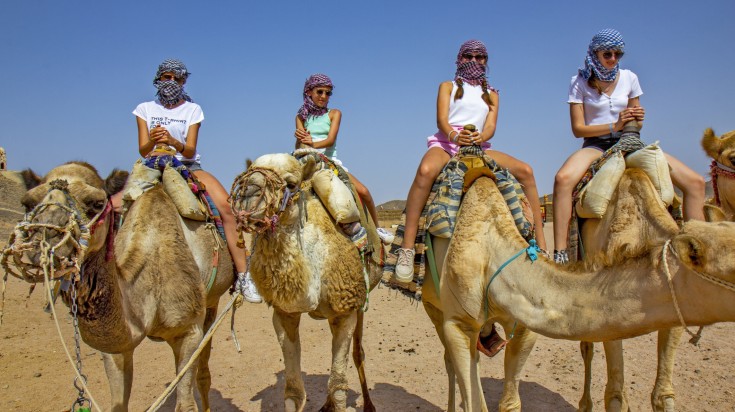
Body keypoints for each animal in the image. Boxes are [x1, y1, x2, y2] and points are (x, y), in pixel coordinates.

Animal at [4, 162, 234, 412]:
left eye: (96, 203)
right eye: (27, 203)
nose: (44, 242)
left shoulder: (189, 331)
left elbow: (186, 404)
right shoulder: (116, 349)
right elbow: (118, 403)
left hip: (210, 303)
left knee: (204, 368)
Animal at [231, 154, 386, 412]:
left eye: (291, 184)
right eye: (246, 174)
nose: (248, 194)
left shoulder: (346, 308)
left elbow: (339, 386)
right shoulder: (284, 313)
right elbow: (294, 391)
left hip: (360, 301)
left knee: (357, 353)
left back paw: (368, 405)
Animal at [422, 168, 735, 412]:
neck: (493, 250)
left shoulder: (524, 324)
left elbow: (510, 402)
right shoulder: (459, 323)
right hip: (433, 306)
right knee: (450, 362)